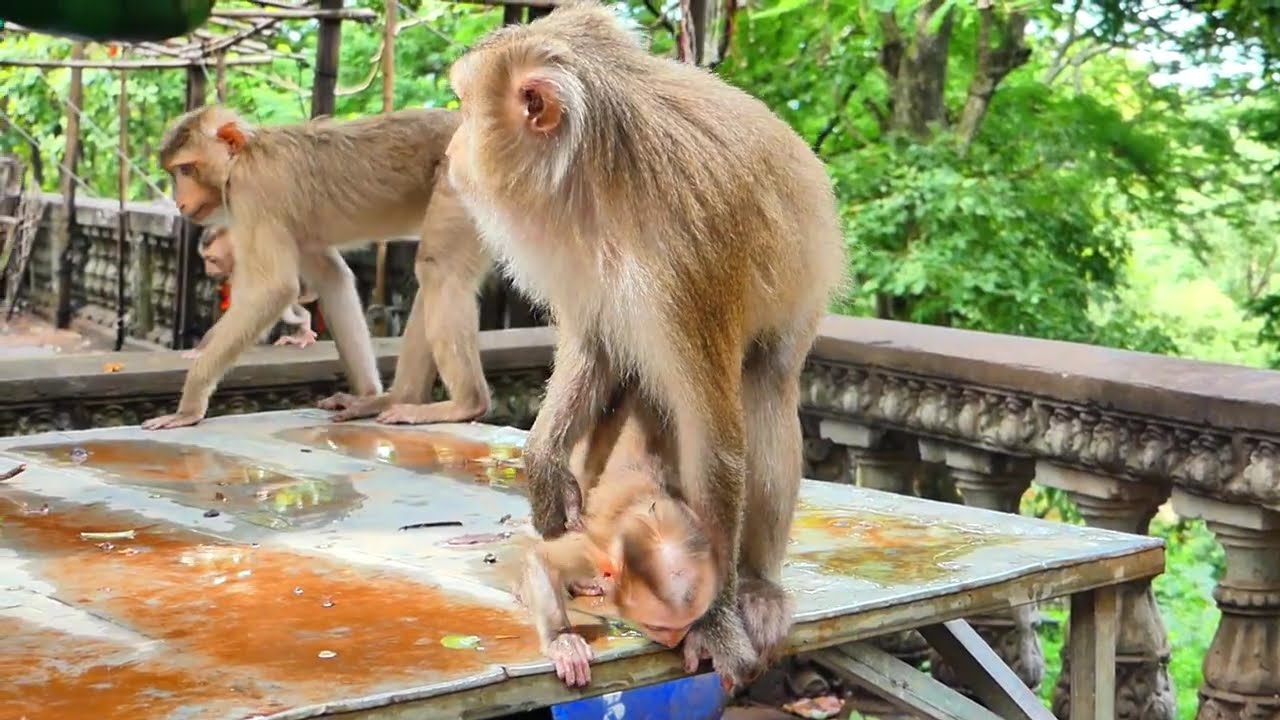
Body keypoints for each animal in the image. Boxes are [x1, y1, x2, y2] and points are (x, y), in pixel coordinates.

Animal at [181, 226, 318, 360]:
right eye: (205, 259)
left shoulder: (241, 270)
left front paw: (203, 349)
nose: (208, 270)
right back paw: (305, 323)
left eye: (212, 260)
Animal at [442, 0, 847, 688]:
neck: (600, 176)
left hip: (802, 298)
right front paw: (543, 469)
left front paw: (716, 620)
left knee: (764, 386)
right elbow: (594, 344)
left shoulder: (688, 259)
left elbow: (715, 442)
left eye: (466, 108)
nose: (450, 147)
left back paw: (756, 586)